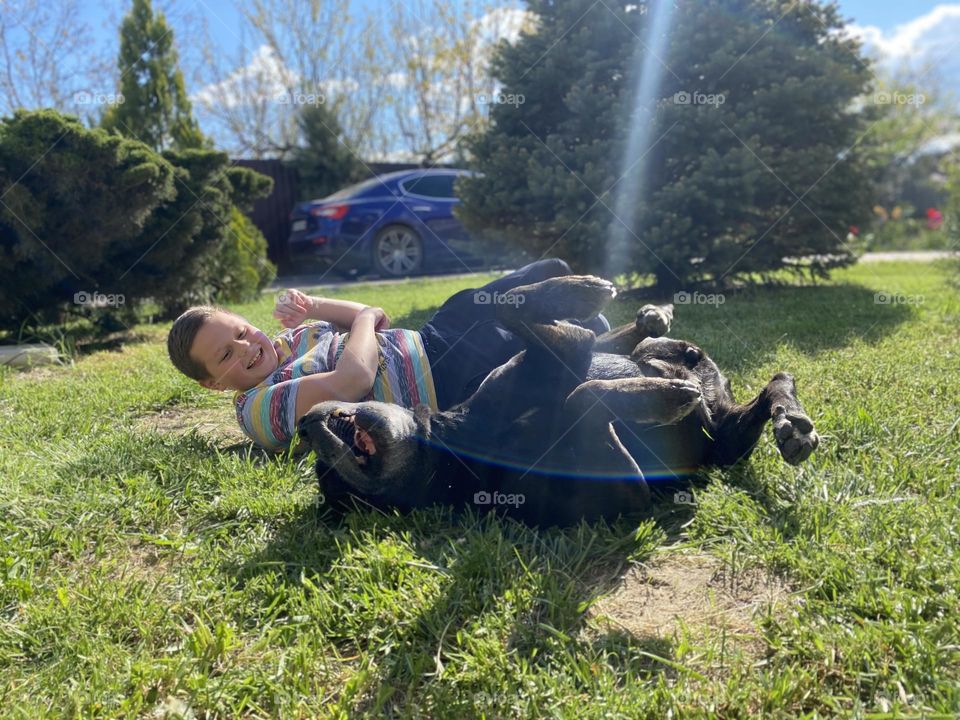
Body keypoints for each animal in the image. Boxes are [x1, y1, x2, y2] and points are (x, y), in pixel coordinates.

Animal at [298, 274, 816, 524]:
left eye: (325, 474)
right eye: (335, 485)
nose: (304, 425)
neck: (457, 441)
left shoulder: (557, 351)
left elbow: (517, 308)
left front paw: (576, 290)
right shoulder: (627, 489)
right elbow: (581, 400)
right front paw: (658, 399)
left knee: (774, 375)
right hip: (724, 443)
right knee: (759, 394)